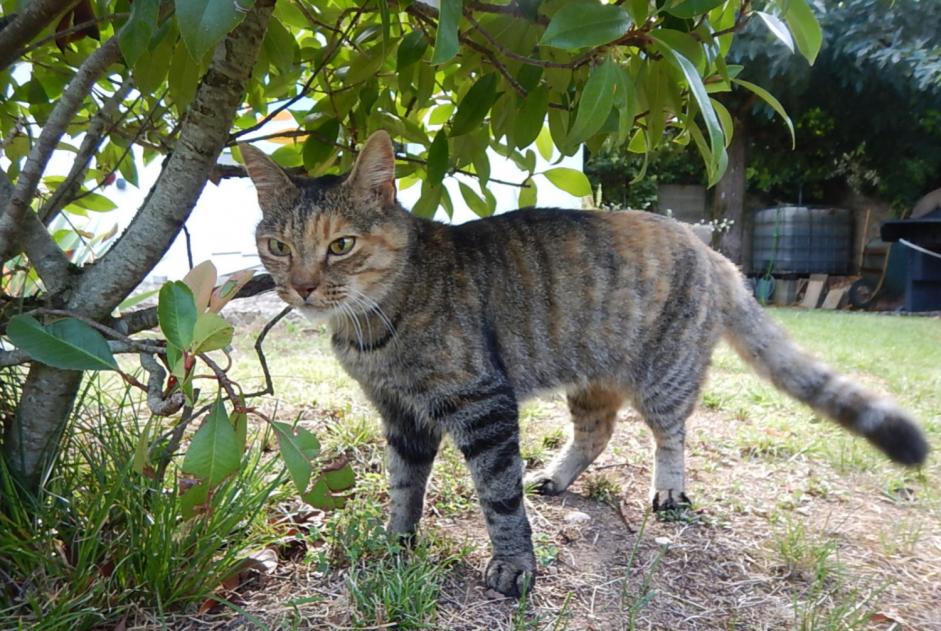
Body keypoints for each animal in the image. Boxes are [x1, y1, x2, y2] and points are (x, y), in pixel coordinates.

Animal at [239, 132, 928, 596]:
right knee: (598, 431)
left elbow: (499, 496)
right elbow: (404, 487)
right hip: (591, 380)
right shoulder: (402, 416)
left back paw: (668, 488)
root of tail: (711, 251)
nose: (300, 287)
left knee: (671, 434)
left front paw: (514, 567)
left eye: (341, 245)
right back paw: (559, 476)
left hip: (665, 376)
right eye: (277, 246)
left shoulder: (481, 404)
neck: (373, 329)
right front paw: (396, 542)